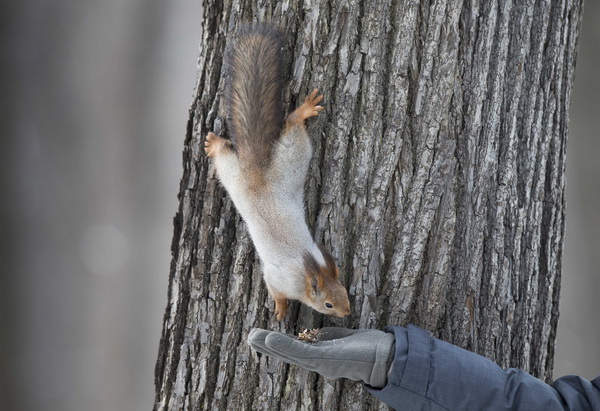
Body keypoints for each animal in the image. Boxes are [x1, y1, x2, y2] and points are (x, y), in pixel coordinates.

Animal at [204, 25, 350, 322]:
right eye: (328, 304)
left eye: (345, 290)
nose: (348, 312)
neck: (307, 271)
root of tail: (256, 174)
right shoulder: (278, 278)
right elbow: (275, 291)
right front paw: (281, 309)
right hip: (270, 163)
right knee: (286, 126)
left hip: (282, 165)